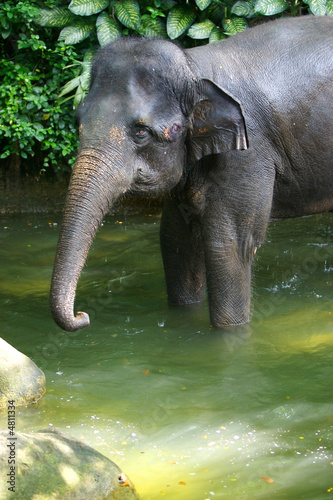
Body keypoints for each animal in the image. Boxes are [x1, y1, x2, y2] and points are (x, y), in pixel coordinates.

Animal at [49, 15, 332, 332]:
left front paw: (229, 333)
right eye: (78, 121)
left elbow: (230, 245)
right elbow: (175, 238)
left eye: (140, 132)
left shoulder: (249, 153)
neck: (195, 68)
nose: (82, 316)